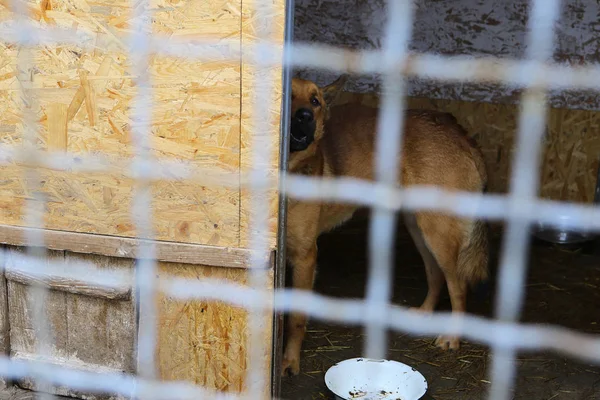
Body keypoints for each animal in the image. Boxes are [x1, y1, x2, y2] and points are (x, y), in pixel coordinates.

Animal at [284, 76, 490, 376]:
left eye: (315, 101)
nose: (305, 116)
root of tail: (460, 133)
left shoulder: (305, 256)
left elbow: (296, 319)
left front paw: (289, 362)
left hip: (438, 234)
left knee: (458, 285)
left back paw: (452, 336)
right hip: (419, 228)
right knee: (435, 275)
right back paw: (424, 314)